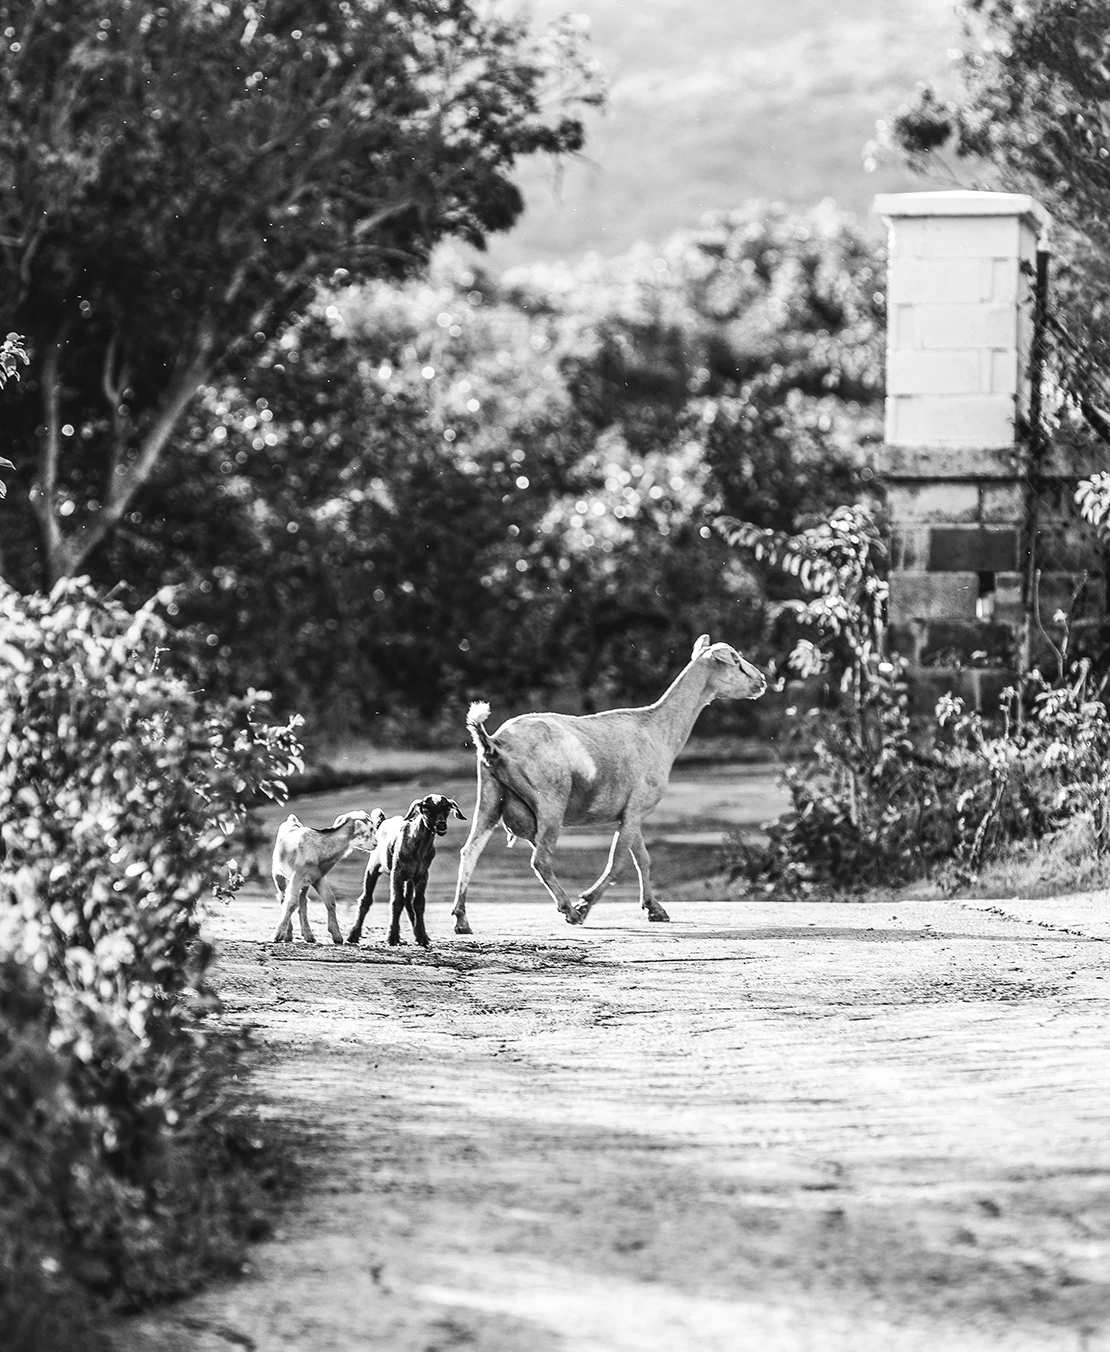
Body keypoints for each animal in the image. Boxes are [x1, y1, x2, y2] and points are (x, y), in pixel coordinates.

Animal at [271, 809, 385, 945]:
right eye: (369, 831)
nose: (376, 844)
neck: (320, 848)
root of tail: (291, 820)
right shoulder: (297, 875)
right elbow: (291, 902)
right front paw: (278, 935)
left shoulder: (318, 877)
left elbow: (330, 900)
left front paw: (337, 936)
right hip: (278, 874)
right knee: (283, 897)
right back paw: (288, 935)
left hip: (305, 884)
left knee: (303, 901)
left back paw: (308, 935)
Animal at [346, 794, 466, 948]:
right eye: (426, 809)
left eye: (447, 809)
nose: (441, 825)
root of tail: (382, 822)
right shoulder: (397, 873)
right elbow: (396, 901)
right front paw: (391, 937)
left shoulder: (422, 875)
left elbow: (419, 903)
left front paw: (422, 937)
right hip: (374, 865)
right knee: (366, 899)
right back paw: (353, 936)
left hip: (409, 878)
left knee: (408, 901)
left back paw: (416, 934)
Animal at [452, 634, 766, 932]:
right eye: (735, 660)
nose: (762, 680)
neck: (658, 730)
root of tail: (495, 743)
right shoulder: (636, 808)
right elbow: (618, 863)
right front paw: (586, 903)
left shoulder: (630, 813)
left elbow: (643, 858)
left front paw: (655, 909)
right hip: (551, 799)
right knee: (540, 859)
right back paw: (570, 910)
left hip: (490, 797)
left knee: (470, 852)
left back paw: (462, 920)